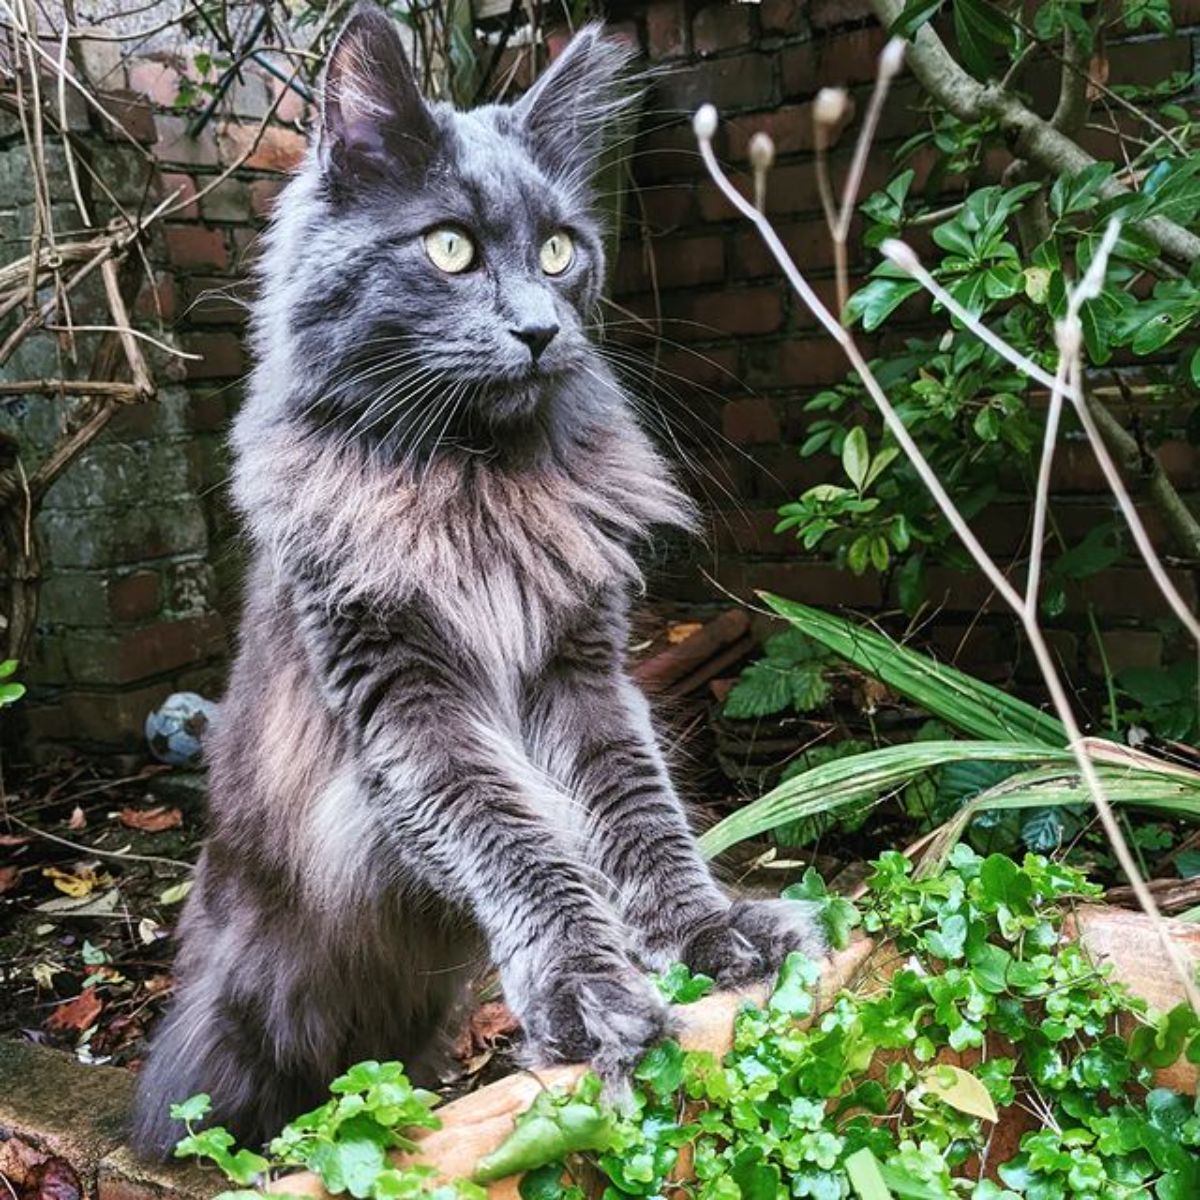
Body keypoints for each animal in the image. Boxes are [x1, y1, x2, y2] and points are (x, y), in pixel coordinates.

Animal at [131, 4, 825, 1156]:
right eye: (449, 247)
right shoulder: (410, 698)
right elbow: (524, 849)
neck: (476, 481)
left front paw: (709, 933)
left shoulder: (582, 668)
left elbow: (638, 818)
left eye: (559, 249)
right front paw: (594, 998)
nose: (539, 329)